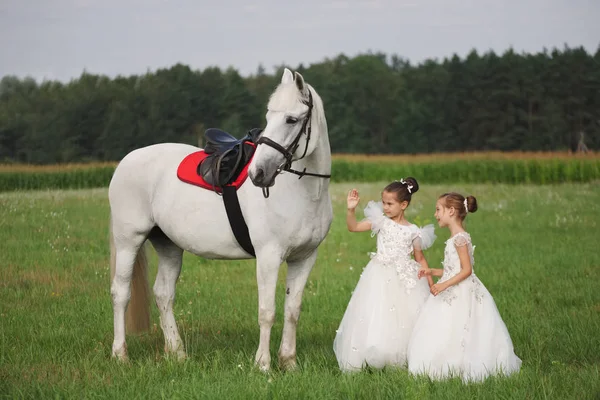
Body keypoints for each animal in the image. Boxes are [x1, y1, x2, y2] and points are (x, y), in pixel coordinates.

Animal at [108, 67, 332, 370]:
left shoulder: (305, 258)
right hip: (128, 241)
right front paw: (263, 365)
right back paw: (120, 355)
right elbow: (267, 311)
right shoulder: (269, 256)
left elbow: (292, 310)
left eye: (291, 119)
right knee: (121, 293)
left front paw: (289, 363)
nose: (258, 173)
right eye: (269, 117)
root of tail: (125, 161)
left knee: (163, 294)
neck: (303, 192)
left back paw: (177, 352)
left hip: (168, 245)